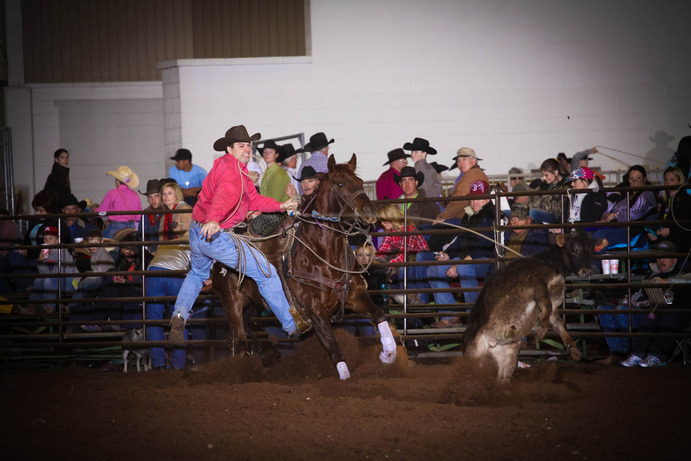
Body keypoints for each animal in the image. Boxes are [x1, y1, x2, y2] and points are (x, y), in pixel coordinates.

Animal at [214, 155, 402, 378]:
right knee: (240, 341)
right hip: (233, 303)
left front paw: (388, 354)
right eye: (340, 184)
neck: (324, 255)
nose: (370, 212)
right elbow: (334, 348)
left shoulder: (355, 295)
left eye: (359, 181)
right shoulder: (316, 312)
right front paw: (346, 378)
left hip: (252, 304)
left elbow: (379, 314)